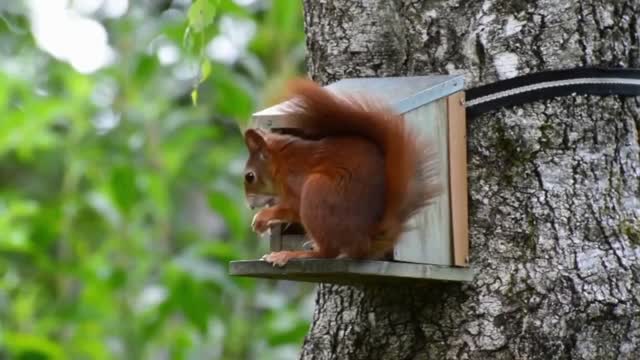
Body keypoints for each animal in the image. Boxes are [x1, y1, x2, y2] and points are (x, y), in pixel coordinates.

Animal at [242, 79, 442, 268]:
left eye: (250, 176)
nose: (250, 206)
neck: (283, 163)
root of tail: (367, 241)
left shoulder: (296, 181)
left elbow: (292, 208)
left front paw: (263, 217)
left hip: (317, 191)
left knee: (327, 253)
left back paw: (291, 254)